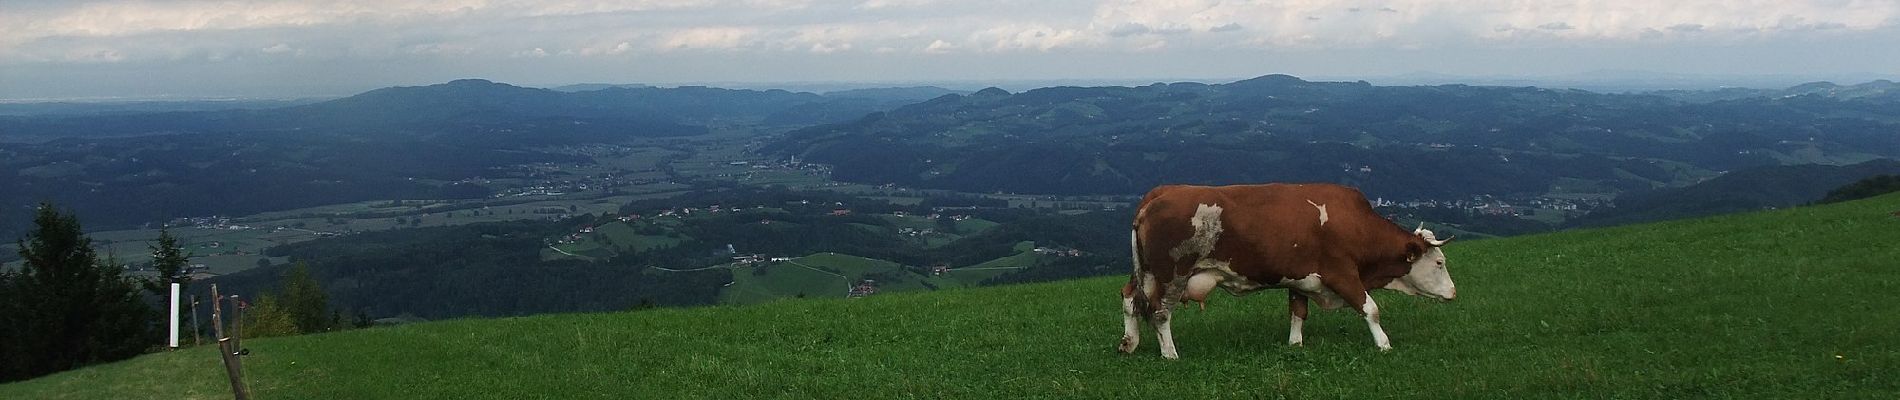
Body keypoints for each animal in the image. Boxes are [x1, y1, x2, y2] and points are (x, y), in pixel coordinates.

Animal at [1109, 182, 1451, 358]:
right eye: (1439, 262)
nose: (1453, 291)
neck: (1355, 224)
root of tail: (1160, 193)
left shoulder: (1301, 279)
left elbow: (1298, 311)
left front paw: (1295, 344)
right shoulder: (1342, 272)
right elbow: (1371, 309)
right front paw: (1383, 344)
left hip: (1146, 273)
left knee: (1130, 299)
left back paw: (1129, 343)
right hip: (1171, 275)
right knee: (1159, 313)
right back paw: (1170, 353)